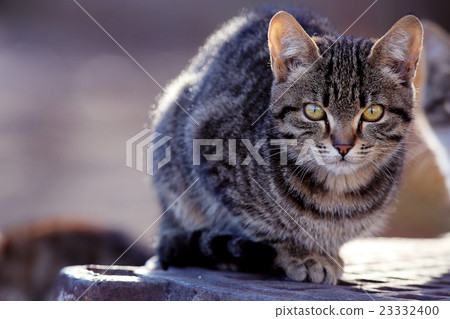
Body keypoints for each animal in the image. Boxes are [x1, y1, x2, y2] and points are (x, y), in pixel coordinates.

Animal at [150, 7, 422, 284]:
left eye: (373, 112)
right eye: (313, 111)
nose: (343, 146)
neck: (336, 193)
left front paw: (327, 253)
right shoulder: (206, 140)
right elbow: (264, 227)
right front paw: (300, 254)